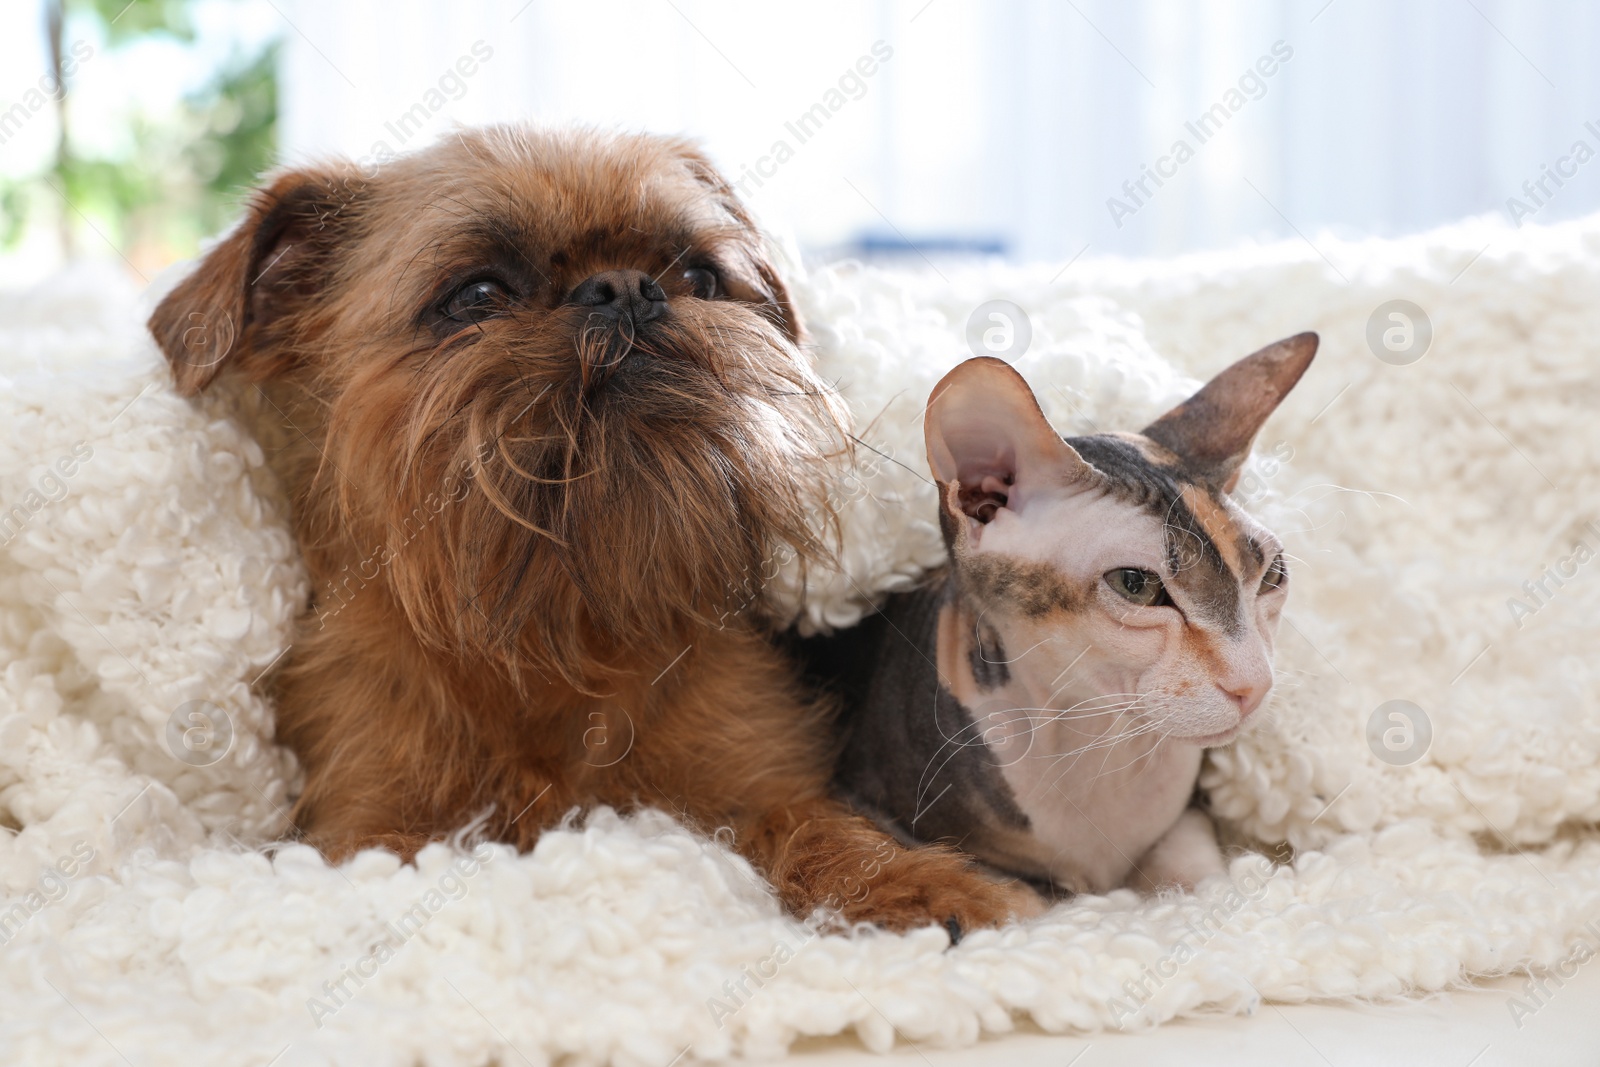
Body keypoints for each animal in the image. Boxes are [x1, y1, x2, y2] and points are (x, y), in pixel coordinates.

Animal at [144, 127, 1030, 934]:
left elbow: (802, 819)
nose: (625, 287)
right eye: (477, 296)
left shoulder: (754, 778)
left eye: (699, 276)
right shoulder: (368, 828)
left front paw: (916, 882)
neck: (560, 627)